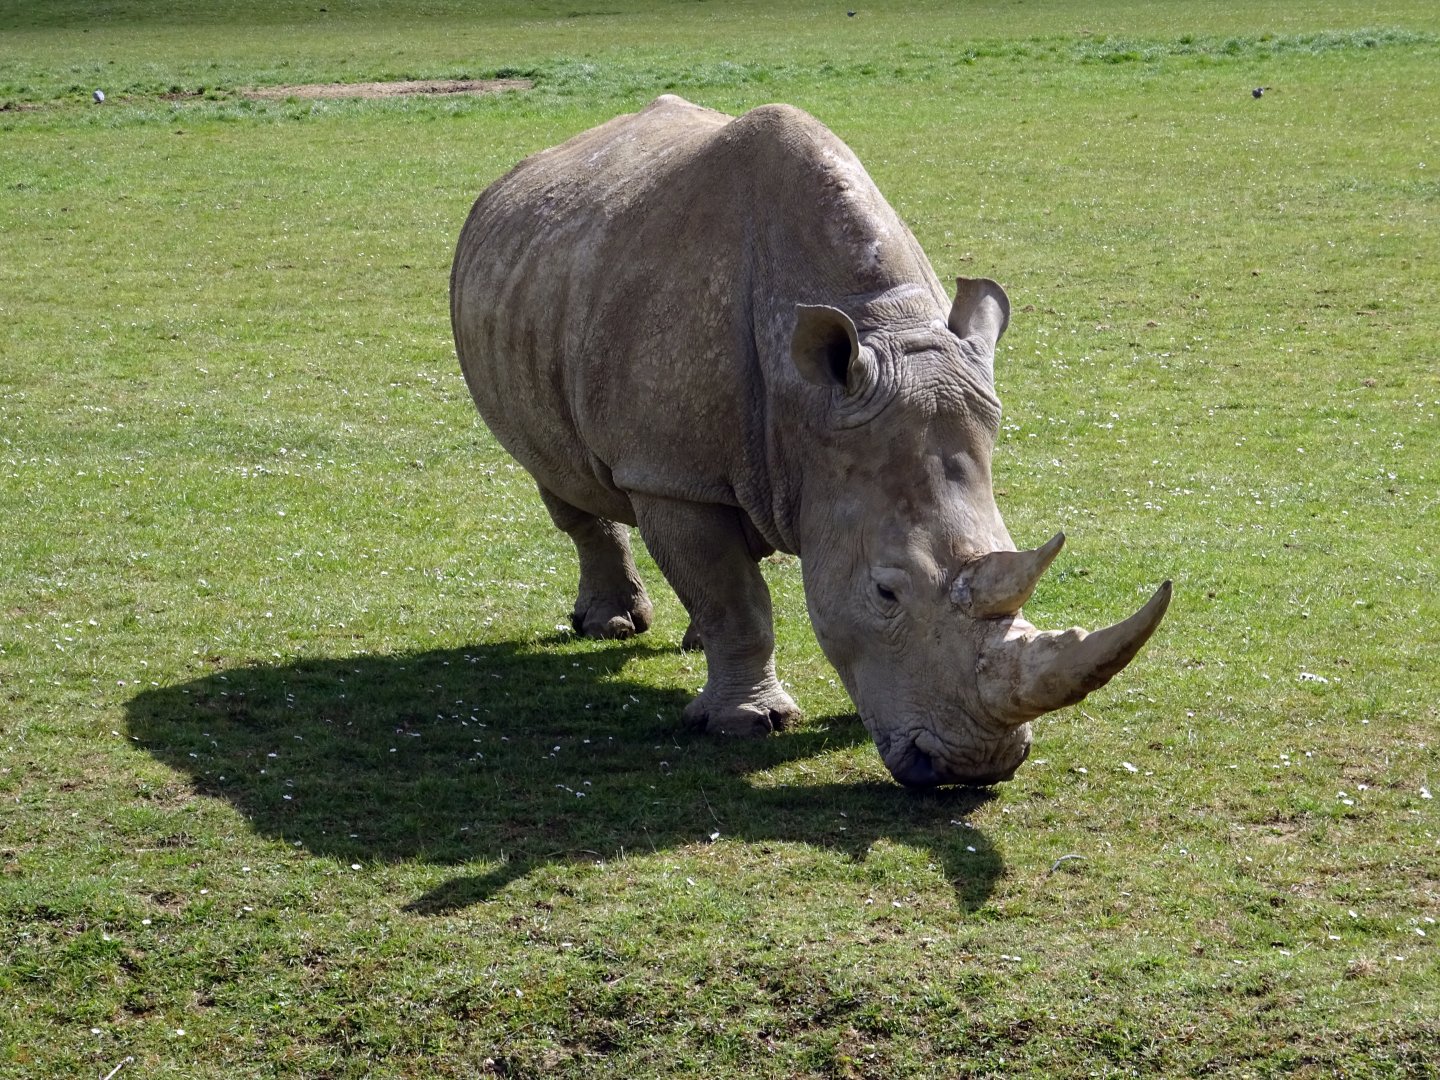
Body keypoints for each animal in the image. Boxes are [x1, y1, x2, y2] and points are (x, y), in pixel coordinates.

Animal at [450, 95, 1171, 787]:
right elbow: (734, 599)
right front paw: (747, 725)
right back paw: (614, 627)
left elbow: (737, 587)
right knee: (557, 474)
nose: (976, 768)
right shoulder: (668, 474)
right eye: (885, 592)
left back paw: (689, 642)